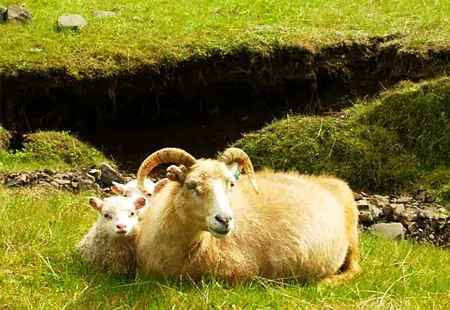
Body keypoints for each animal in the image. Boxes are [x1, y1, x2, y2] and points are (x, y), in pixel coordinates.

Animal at [134, 148, 362, 286]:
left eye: (231, 184)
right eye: (191, 185)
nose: (225, 220)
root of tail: (332, 180)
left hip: (352, 240)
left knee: (355, 269)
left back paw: (323, 283)